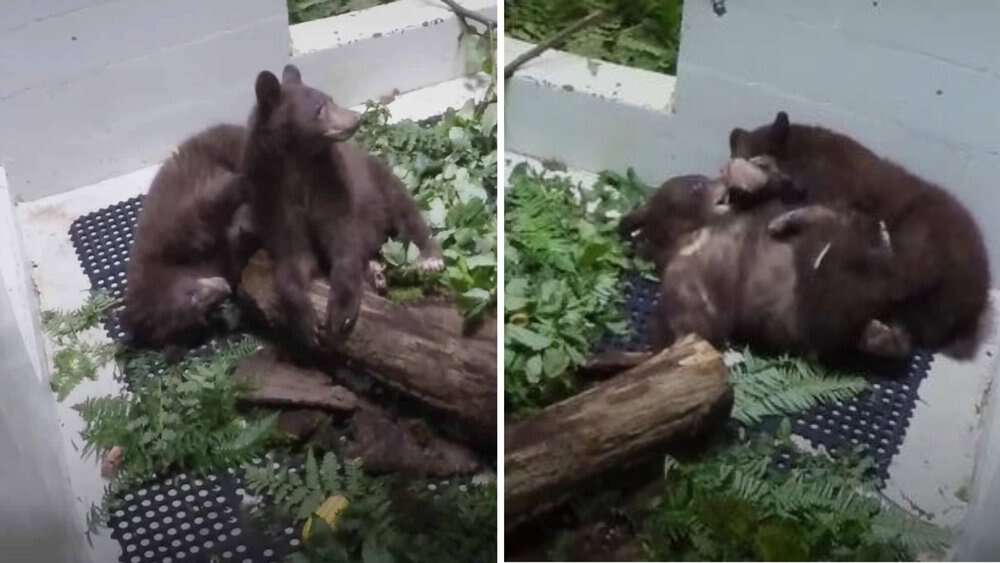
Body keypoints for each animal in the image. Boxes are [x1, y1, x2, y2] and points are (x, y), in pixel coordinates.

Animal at [242, 64, 443, 349]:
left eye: (330, 98)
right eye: (319, 108)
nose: (355, 118)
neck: (297, 164)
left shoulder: (331, 184)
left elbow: (342, 241)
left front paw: (341, 316)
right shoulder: (272, 199)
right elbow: (293, 257)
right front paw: (307, 323)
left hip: (381, 181)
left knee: (406, 212)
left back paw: (429, 259)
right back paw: (375, 271)